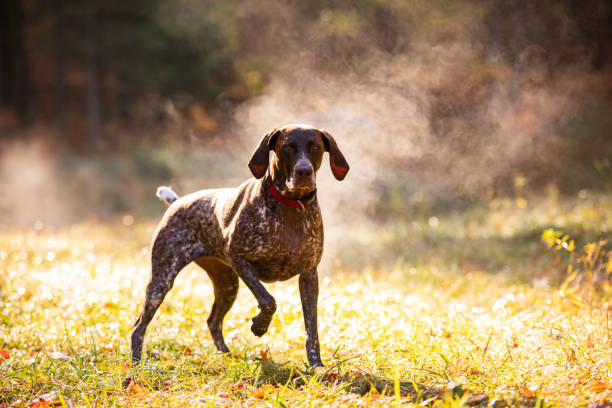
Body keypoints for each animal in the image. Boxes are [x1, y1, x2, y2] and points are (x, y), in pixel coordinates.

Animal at [129, 123, 350, 366]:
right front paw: (259, 326)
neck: (291, 207)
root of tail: (177, 202)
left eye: (315, 147)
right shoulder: (239, 259)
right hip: (162, 280)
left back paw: (226, 357)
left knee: (213, 321)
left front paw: (316, 364)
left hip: (228, 286)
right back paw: (136, 361)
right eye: (287, 147)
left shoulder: (309, 275)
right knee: (138, 326)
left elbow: (312, 326)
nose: (304, 171)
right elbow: (268, 300)